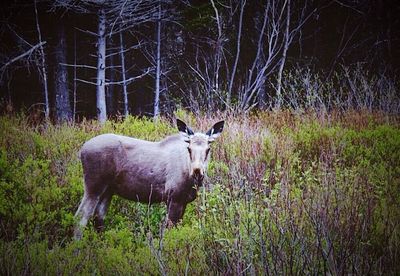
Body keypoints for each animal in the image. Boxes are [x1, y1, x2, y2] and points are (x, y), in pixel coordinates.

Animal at [73, 118, 223, 239]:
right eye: (189, 148)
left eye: (208, 149)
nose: (197, 171)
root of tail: (81, 150)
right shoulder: (174, 198)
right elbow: (168, 232)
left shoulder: (183, 201)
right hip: (93, 186)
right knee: (80, 218)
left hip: (108, 191)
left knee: (98, 218)